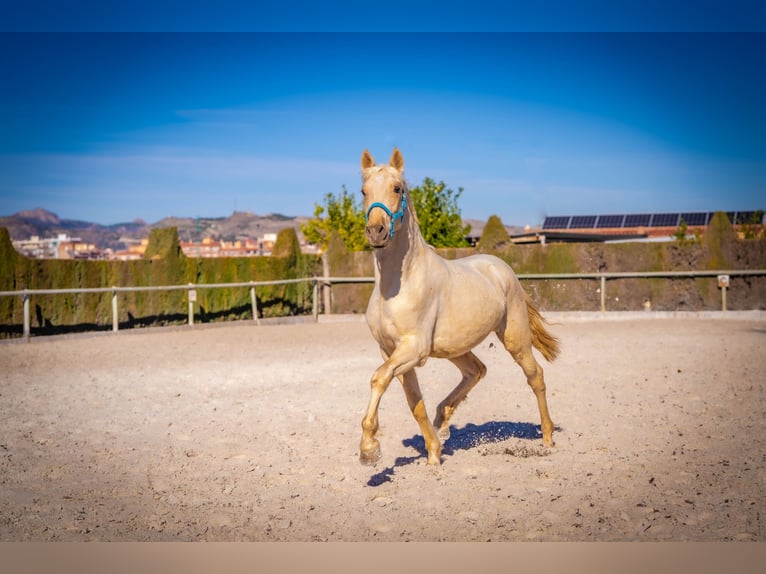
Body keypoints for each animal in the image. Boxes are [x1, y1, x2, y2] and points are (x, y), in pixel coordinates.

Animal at [360, 147, 564, 468]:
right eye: (363, 191)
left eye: (397, 188)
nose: (376, 231)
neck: (394, 289)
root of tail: (502, 269)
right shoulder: (391, 351)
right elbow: (414, 402)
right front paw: (433, 453)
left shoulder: (413, 349)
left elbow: (379, 378)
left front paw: (368, 448)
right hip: (455, 348)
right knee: (477, 370)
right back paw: (443, 421)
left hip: (515, 338)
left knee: (535, 376)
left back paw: (547, 436)